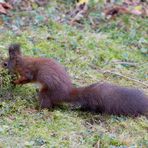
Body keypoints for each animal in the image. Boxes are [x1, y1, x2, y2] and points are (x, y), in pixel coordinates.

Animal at [2, 44, 148, 117]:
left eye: (5, 63)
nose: (2, 66)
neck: (21, 62)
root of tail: (66, 93)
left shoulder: (29, 71)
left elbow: (28, 78)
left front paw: (15, 82)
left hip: (46, 92)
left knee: (47, 106)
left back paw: (35, 109)